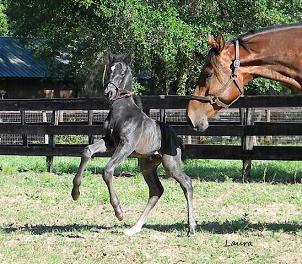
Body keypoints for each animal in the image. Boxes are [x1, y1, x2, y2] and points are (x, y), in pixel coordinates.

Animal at [72, 52, 197, 236]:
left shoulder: (126, 146)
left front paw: (119, 211)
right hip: (146, 165)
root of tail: (176, 138)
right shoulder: (110, 142)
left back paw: (191, 228)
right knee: (156, 190)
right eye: (109, 71)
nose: (109, 92)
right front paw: (75, 193)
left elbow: (107, 170)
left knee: (186, 183)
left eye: (123, 73)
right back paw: (134, 228)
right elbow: (87, 151)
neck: (122, 112)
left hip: (170, 164)